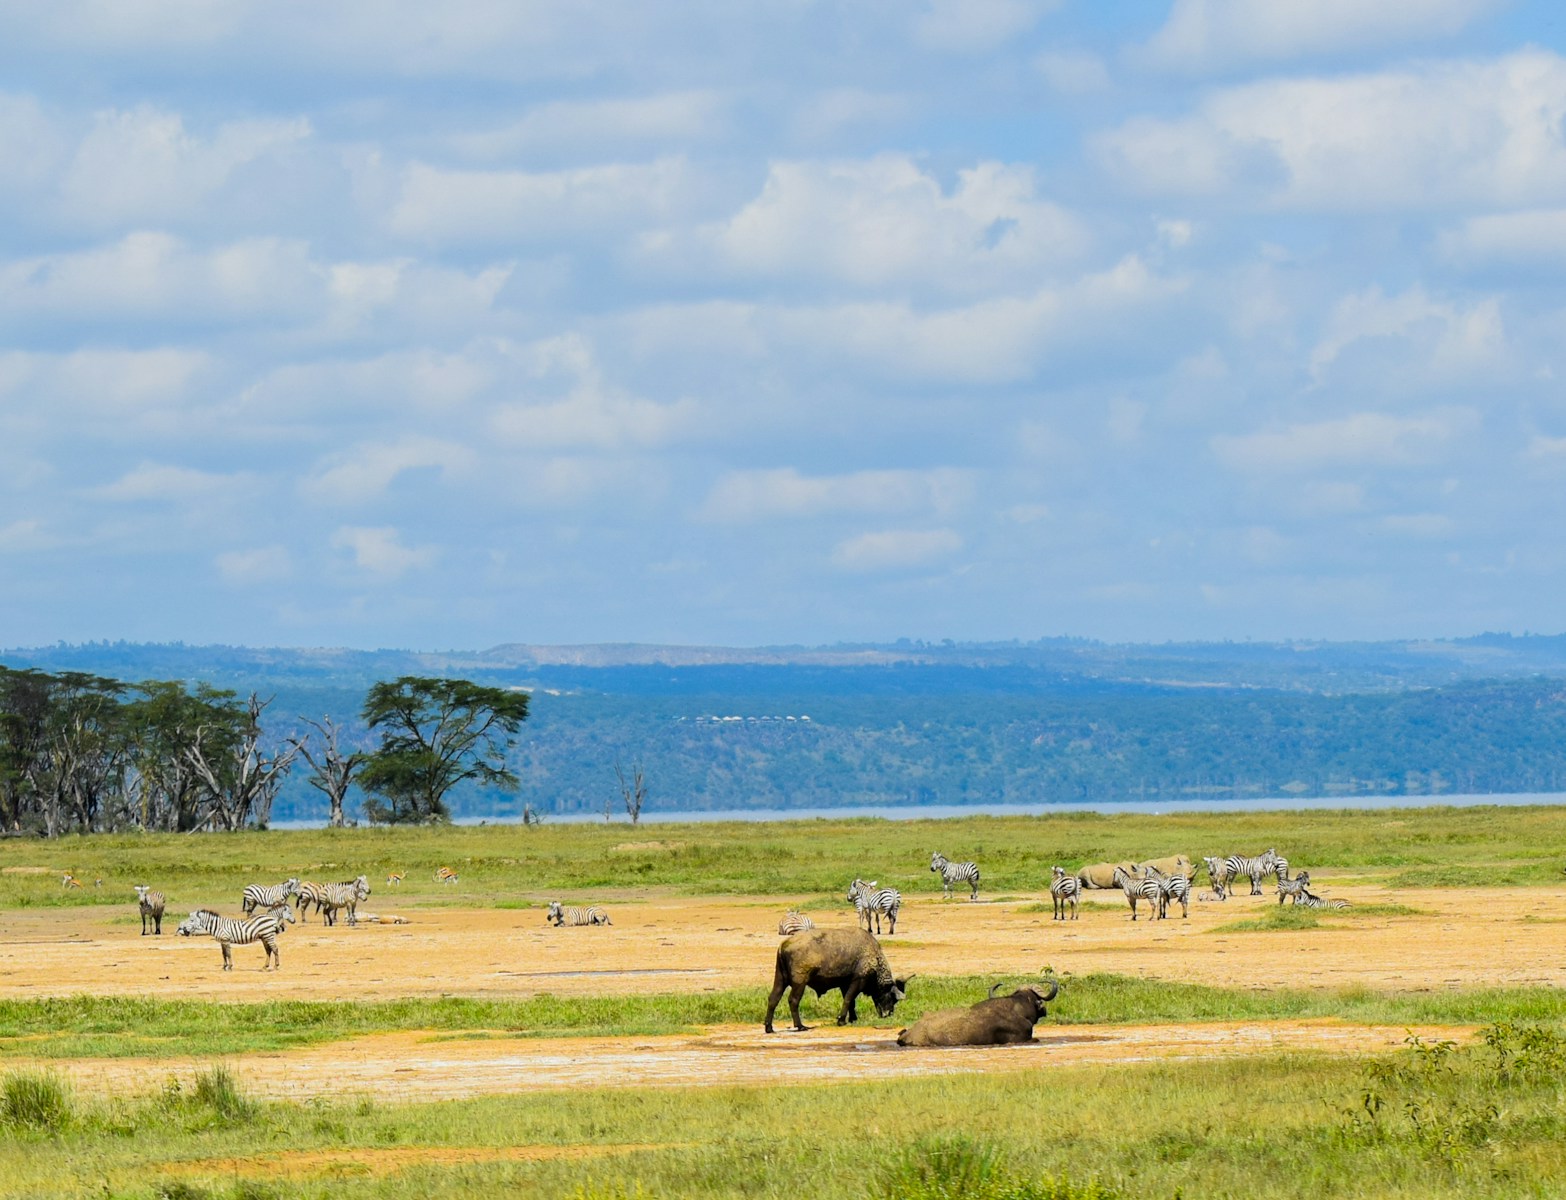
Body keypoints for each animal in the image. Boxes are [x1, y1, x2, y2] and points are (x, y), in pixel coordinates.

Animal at [764, 927, 914, 1033]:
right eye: (892, 998)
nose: (889, 1014)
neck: (873, 957)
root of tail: (783, 945)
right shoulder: (858, 981)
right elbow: (848, 999)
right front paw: (841, 1020)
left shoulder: (844, 984)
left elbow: (851, 1002)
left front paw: (852, 1018)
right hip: (800, 983)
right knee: (793, 1000)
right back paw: (800, 1026)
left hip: (780, 979)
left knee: (773, 999)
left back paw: (769, 1027)